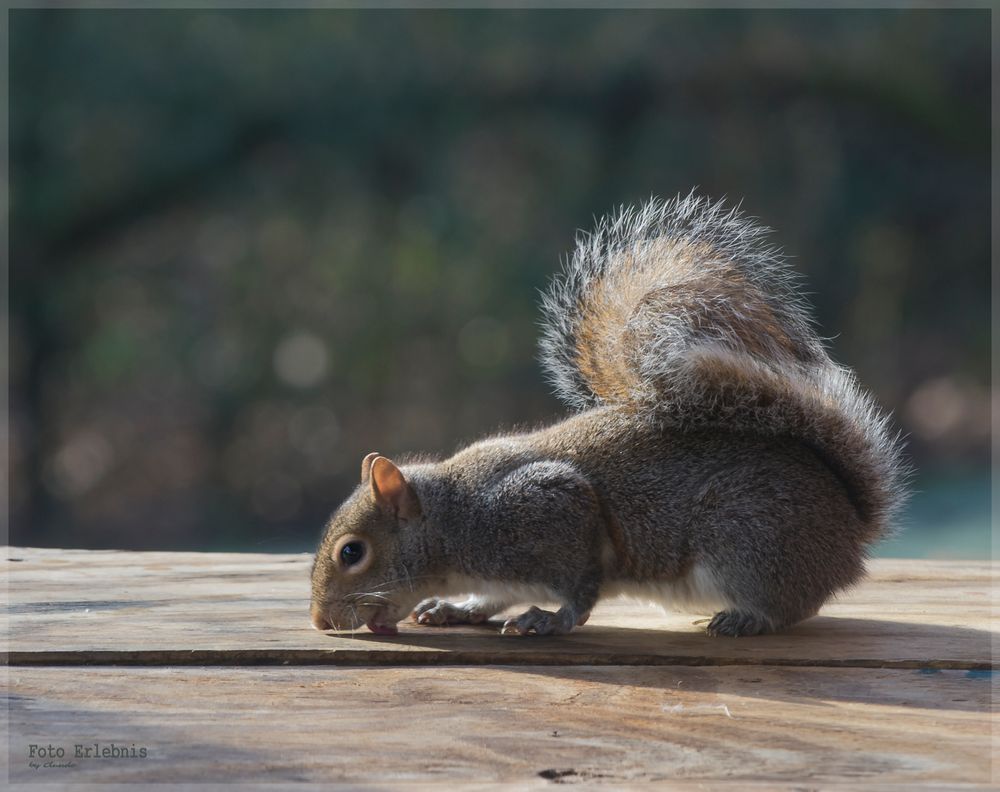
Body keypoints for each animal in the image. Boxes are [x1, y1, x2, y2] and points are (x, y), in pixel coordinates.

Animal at [308, 192, 912, 636]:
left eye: (352, 552)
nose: (318, 620)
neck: (455, 519)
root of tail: (851, 527)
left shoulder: (549, 509)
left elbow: (581, 590)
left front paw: (547, 620)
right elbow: (492, 595)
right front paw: (454, 608)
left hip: (747, 541)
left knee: (791, 607)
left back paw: (746, 619)